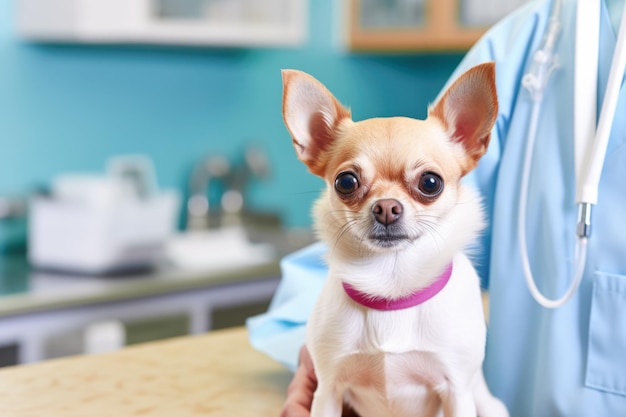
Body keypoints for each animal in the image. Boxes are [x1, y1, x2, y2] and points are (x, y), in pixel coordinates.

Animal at [282, 62, 508, 416]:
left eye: (430, 182)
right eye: (346, 182)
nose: (386, 208)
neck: (392, 285)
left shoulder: (457, 392)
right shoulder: (327, 391)